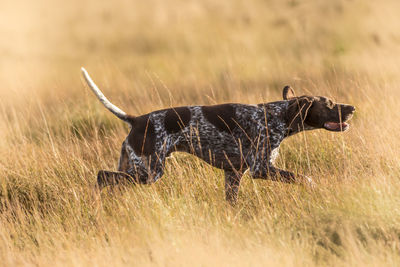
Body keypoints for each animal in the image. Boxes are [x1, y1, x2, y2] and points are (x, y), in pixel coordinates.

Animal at [80, 68, 354, 204]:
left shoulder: (233, 175)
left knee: (109, 181)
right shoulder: (261, 169)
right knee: (102, 176)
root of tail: (137, 119)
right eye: (329, 104)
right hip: (149, 172)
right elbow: (306, 178)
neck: (276, 116)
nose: (352, 108)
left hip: (133, 167)